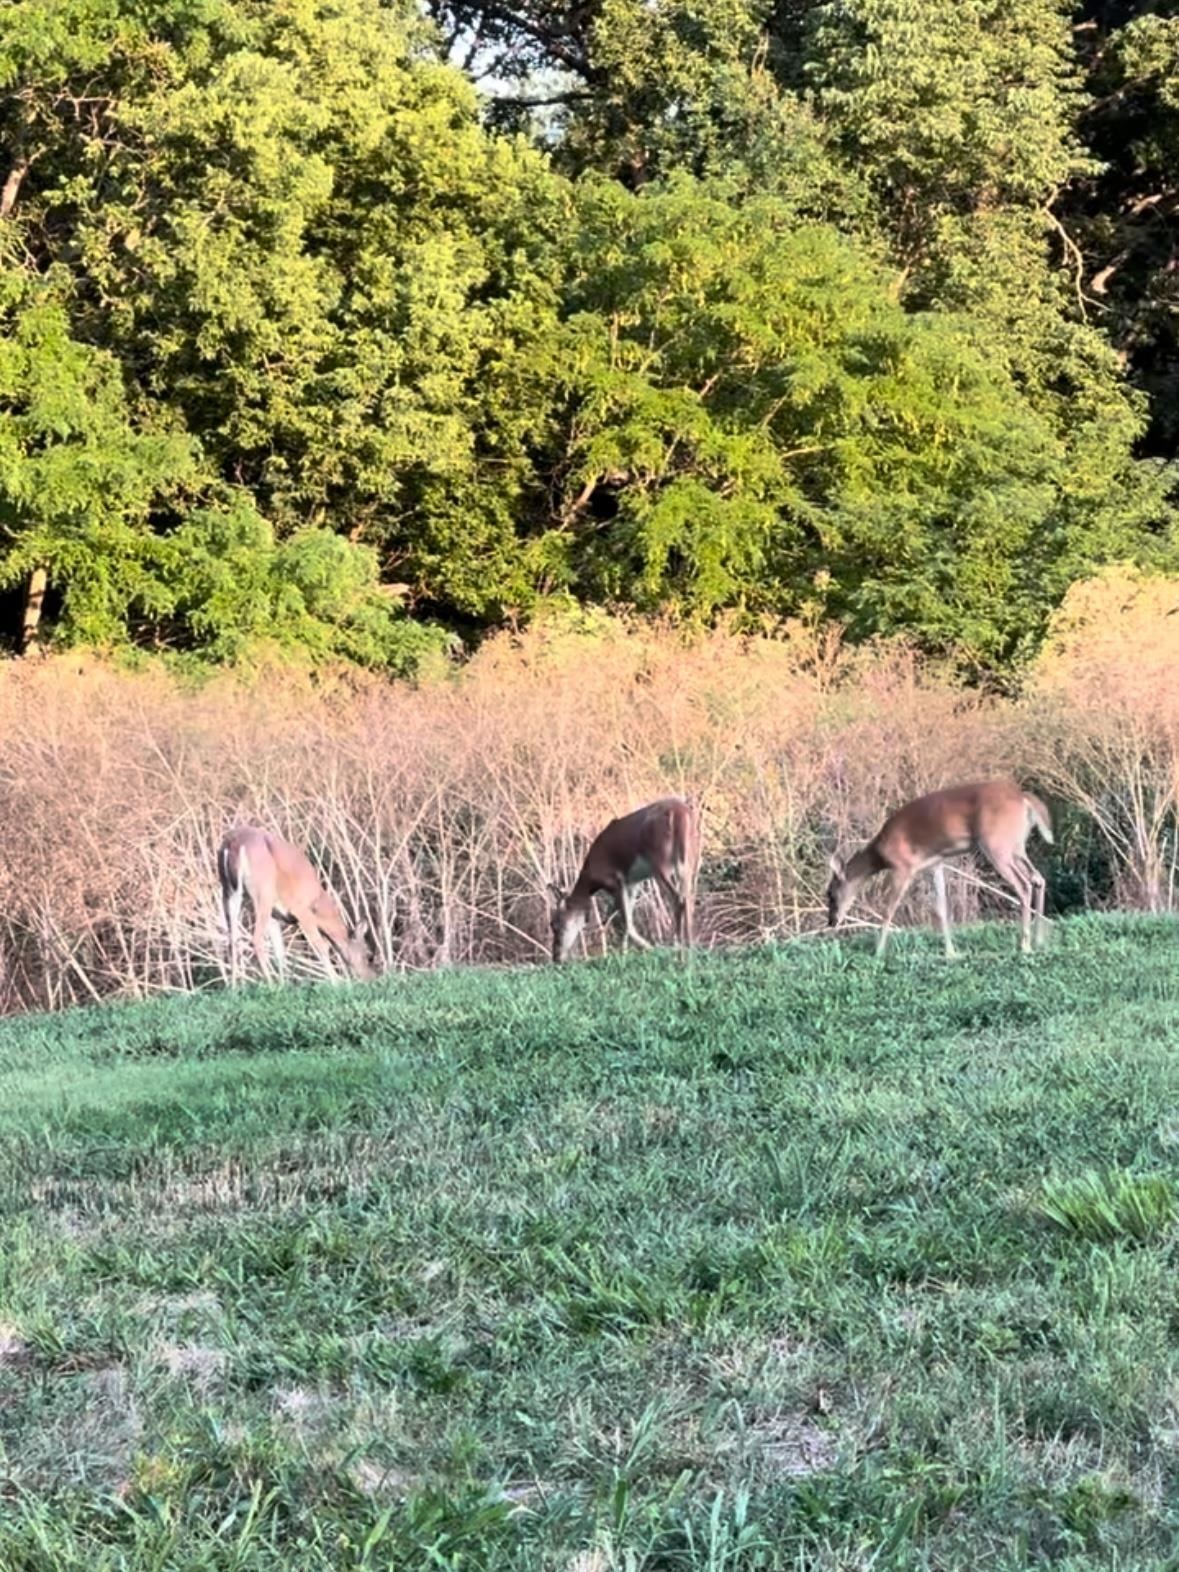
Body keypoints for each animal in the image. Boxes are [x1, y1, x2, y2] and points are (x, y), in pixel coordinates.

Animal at [215, 823, 375, 980]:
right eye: (368, 955)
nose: (369, 979)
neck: (318, 902)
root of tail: (233, 843)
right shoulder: (301, 911)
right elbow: (321, 946)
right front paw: (336, 982)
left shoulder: (275, 914)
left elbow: (279, 951)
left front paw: (284, 984)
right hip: (262, 892)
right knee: (256, 939)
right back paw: (269, 983)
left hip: (229, 891)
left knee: (232, 940)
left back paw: (235, 985)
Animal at [550, 792, 697, 962]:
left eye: (554, 924)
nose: (556, 957)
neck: (591, 878)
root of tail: (681, 814)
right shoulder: (632, 883)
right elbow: (627, 919)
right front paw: (624, 954)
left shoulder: (616, 879)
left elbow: (625, 923)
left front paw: (650, 948)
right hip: (688, 858)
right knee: (688, 898)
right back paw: (689, 948)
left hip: (659, 861)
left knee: (678, 898)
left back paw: (677, 950)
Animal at [823, 776, 1056, 955]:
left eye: (831, 893)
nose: (831, 921)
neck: (879, 854)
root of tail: (1025, 799)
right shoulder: (935, 864)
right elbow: (942, 908)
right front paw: (951, 952)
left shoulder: (903, 867)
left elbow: (889, 909)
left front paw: (878, 951)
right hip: (1016, 846)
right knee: (1038, 878)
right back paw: (1039, 939)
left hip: (997, 845)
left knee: (1023, 884)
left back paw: (1025, 944)